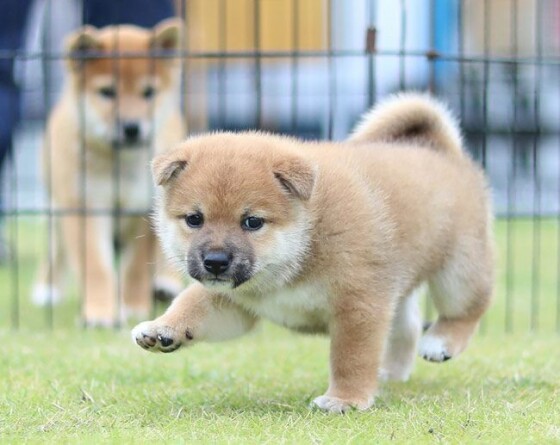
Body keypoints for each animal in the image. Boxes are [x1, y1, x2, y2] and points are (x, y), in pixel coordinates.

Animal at [32, 19, 186, 324]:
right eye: (107, 92)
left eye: (148, 92)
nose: (131, 127)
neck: (120, 165)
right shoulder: (83, 207)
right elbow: (95, 267)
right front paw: (100, 313)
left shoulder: (146, 210)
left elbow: (136, 268)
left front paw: (133, 305)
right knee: (56, 251)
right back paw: (47, 289)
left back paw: (166, 284)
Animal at [132, 93, 494, 412]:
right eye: (194, 219)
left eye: (252, 222)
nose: (215, 262)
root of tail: (442, 151)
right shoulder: (234, 301)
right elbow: (191, 303)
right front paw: (163, 328)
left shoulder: (359, 305)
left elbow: (351, 359)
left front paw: (345, 400)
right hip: (396, 283)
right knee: (406, 325)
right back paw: (391, 371)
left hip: (459, 269)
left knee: (468, 309)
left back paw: (440, 342)